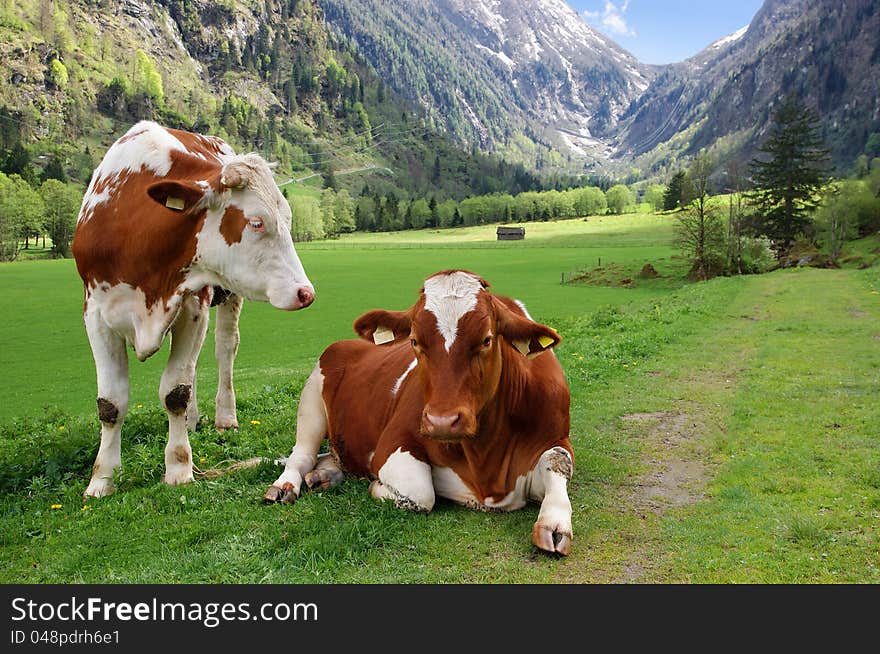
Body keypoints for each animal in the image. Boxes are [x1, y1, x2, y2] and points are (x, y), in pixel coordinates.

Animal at [75, 120, 316, 498]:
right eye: (257, 222)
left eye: (288, 219)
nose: (305, 292)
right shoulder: (96, 314)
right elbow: (110, 403)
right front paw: (102, 479)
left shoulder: (193, 304)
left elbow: (175, 390)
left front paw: (178, 467)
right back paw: (191, 420)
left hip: (227, 297)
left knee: (223, 350)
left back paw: (223, 417)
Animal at [264, 270, 576, 556]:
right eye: (414, 341)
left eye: (486, 339)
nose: (442, 422)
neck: (487, 465)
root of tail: (346, 343)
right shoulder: (392, 443)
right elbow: (421, 493)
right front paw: (377, 486)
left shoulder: (555, 436)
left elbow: (558, 462)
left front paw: (554, 522)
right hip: (311, 398)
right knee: (302, 455)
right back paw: (285, 485)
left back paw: (325, 476)